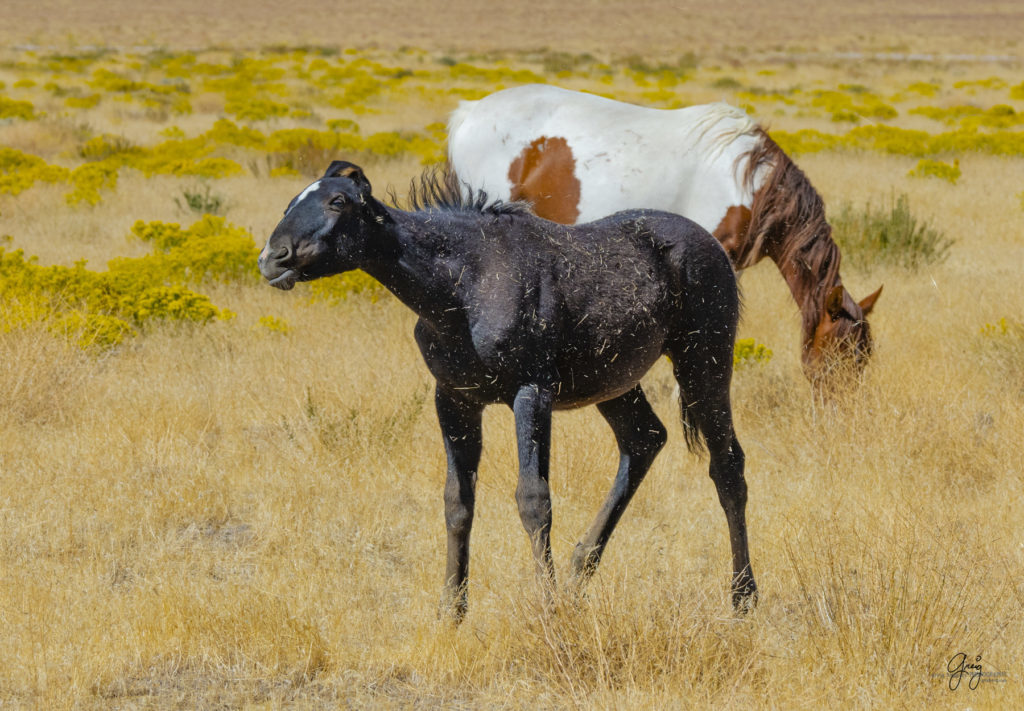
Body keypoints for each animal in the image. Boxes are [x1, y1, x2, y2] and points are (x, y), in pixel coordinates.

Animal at [260, 161, 757, 622]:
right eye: (290, 203)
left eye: (337, 202)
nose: (272, 257)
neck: (465, 285)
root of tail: (711, 242)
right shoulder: (454, 400)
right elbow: (458, 501)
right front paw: (452, 611)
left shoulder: (531, 394)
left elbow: (534, 500)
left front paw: (547, 607)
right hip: (615, 384)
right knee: (644, 440)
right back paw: (580, 572)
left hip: (704, 366)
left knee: (727, 466)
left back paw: (743, 597)